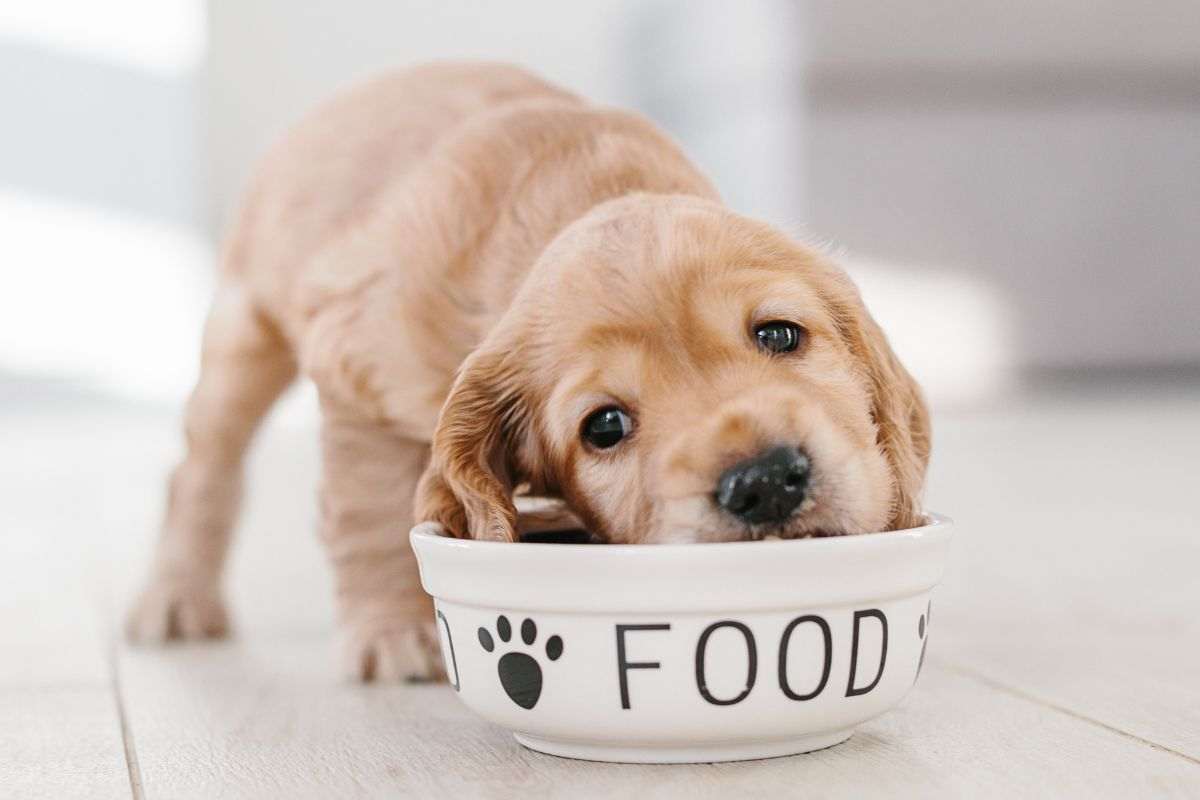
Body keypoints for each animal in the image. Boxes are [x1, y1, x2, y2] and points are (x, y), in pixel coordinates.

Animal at [129, 64, 926, 681]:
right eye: (604, 425)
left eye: (780, 333)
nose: (764, 482)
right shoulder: (359, 375)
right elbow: (370, 510)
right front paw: (391, 633)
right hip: (243, 334)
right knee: (200, 470)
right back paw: (176, 599)